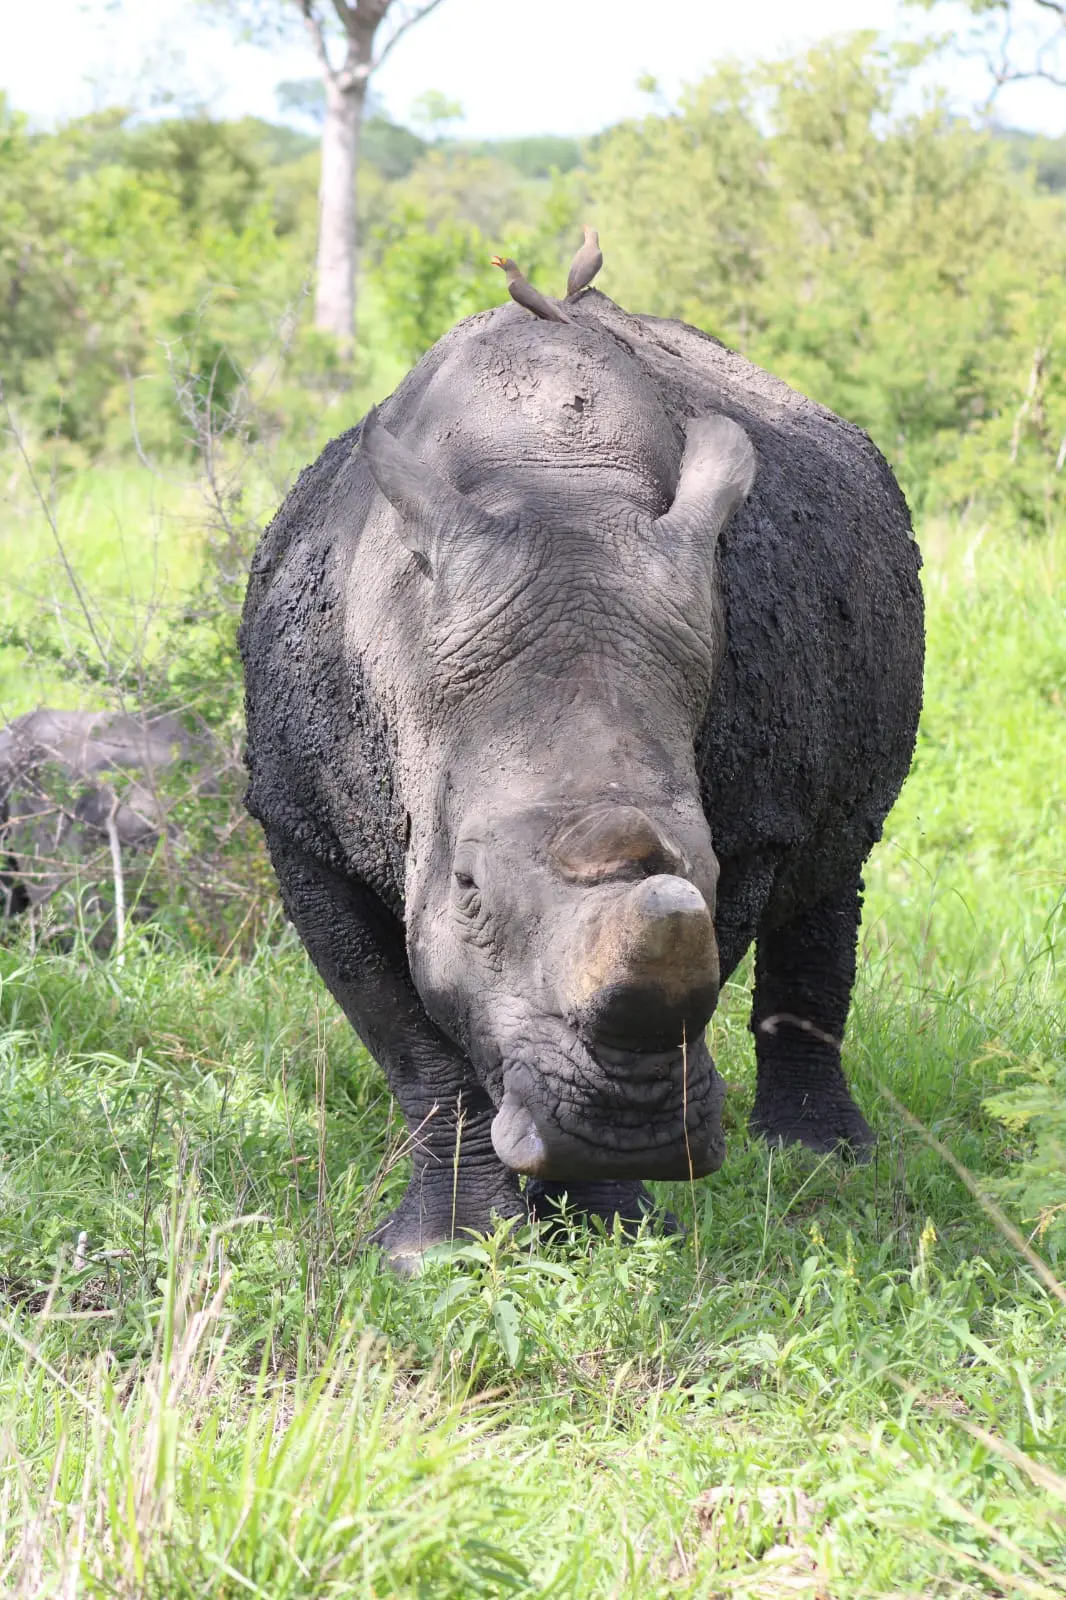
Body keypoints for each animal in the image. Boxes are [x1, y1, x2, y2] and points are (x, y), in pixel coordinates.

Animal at [240, 290, 924, 1271]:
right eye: (467, 887)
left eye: (710, 869)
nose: (623, 1130)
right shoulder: (300, 823)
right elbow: (410, 1043)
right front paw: (440, 1253)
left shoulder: (752, 828)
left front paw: (610, 1224)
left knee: (837, 865)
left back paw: (818, 1160)